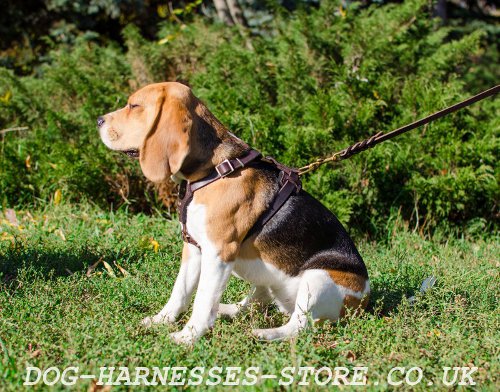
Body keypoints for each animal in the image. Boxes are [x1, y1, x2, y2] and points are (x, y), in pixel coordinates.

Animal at [98, 82, 372, 344]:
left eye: (134, 106)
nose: (99, 120)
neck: (214, 169)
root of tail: (365, 297)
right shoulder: (193, 248)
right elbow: (180, 292)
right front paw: (161, 320)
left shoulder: (218, 252)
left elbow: (202, 300)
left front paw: (188, 337)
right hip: (270, 279)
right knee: (254, 302)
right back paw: (229, 309)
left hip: (317, 279)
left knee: (299, 326)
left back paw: (264, 334)